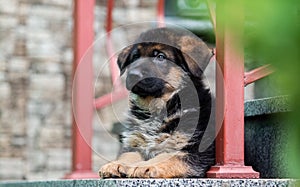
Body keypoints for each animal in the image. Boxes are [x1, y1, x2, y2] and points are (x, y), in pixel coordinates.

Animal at [99, 27, 214, 178]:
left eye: (160, 56)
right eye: (135, 57)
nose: (134, 75)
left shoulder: (195, 151)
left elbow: (167, 156)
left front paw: (143, 166)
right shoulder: (135, 143)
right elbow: (128, 154)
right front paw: (116, 164)